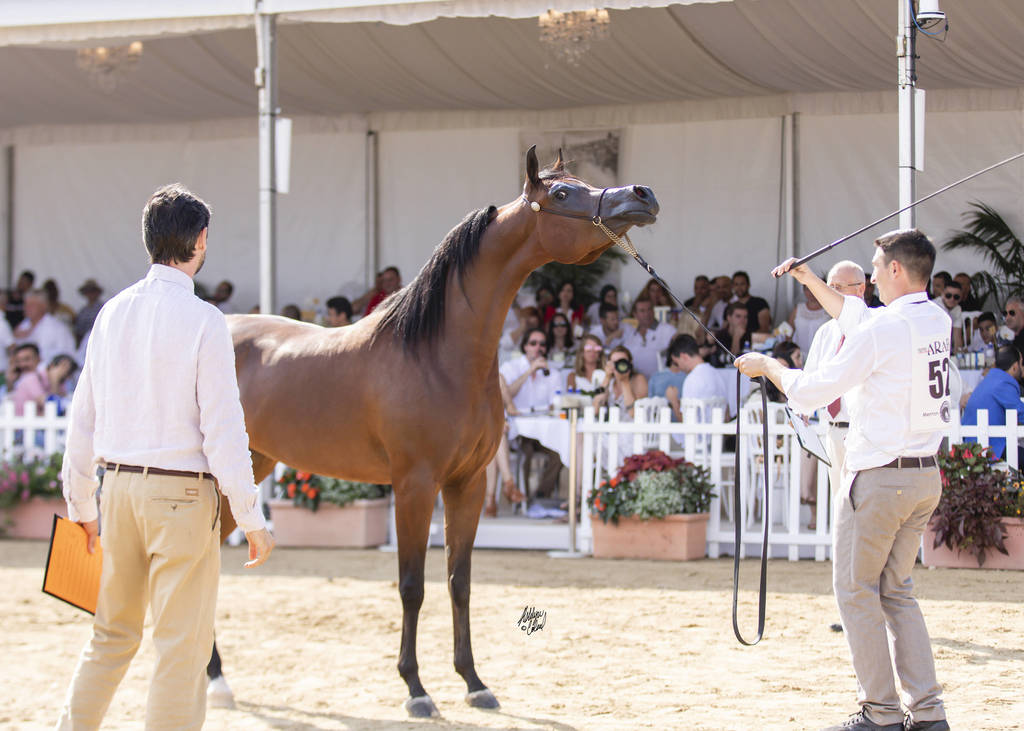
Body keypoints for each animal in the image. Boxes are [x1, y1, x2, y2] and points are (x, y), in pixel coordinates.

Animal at [211, 146, 659, 717]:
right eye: (561, 193)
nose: (642, 195)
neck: (438, 355)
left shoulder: (467, 484)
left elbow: (458, 582)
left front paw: (473, 681)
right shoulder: (415, 486)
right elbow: (411, 586)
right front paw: (416, 689)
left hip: (250, 469)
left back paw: (217, 679)